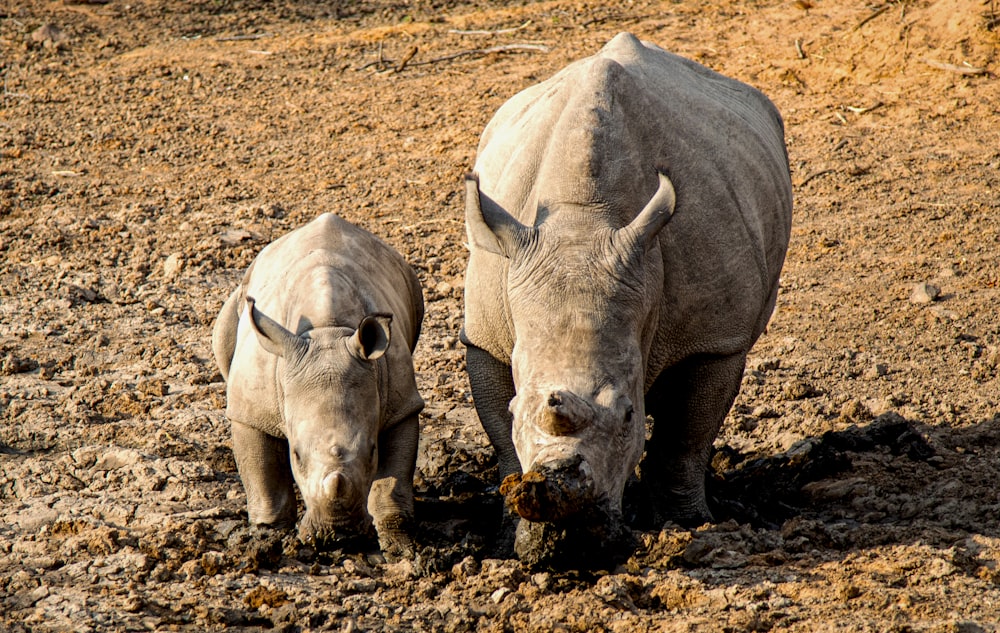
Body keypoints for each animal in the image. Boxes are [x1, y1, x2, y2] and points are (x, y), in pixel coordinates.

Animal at [213, 212, 424, 556]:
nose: (340, 537)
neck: (327, 331)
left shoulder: (401, 404)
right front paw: (268, 537)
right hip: (237, 302)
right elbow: (263, 476)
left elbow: (393, 480)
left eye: (372, 451)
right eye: (296, 455)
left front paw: (399, 545)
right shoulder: (251, 410)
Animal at [462, 32, 796, 564]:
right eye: (518, 409)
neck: (583, 219)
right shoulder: (484, 336)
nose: (570, 537)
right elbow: (501, 438)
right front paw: (509, 538)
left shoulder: (716, 340)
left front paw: (689, 524)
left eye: (628, 415)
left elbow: (685, 435)